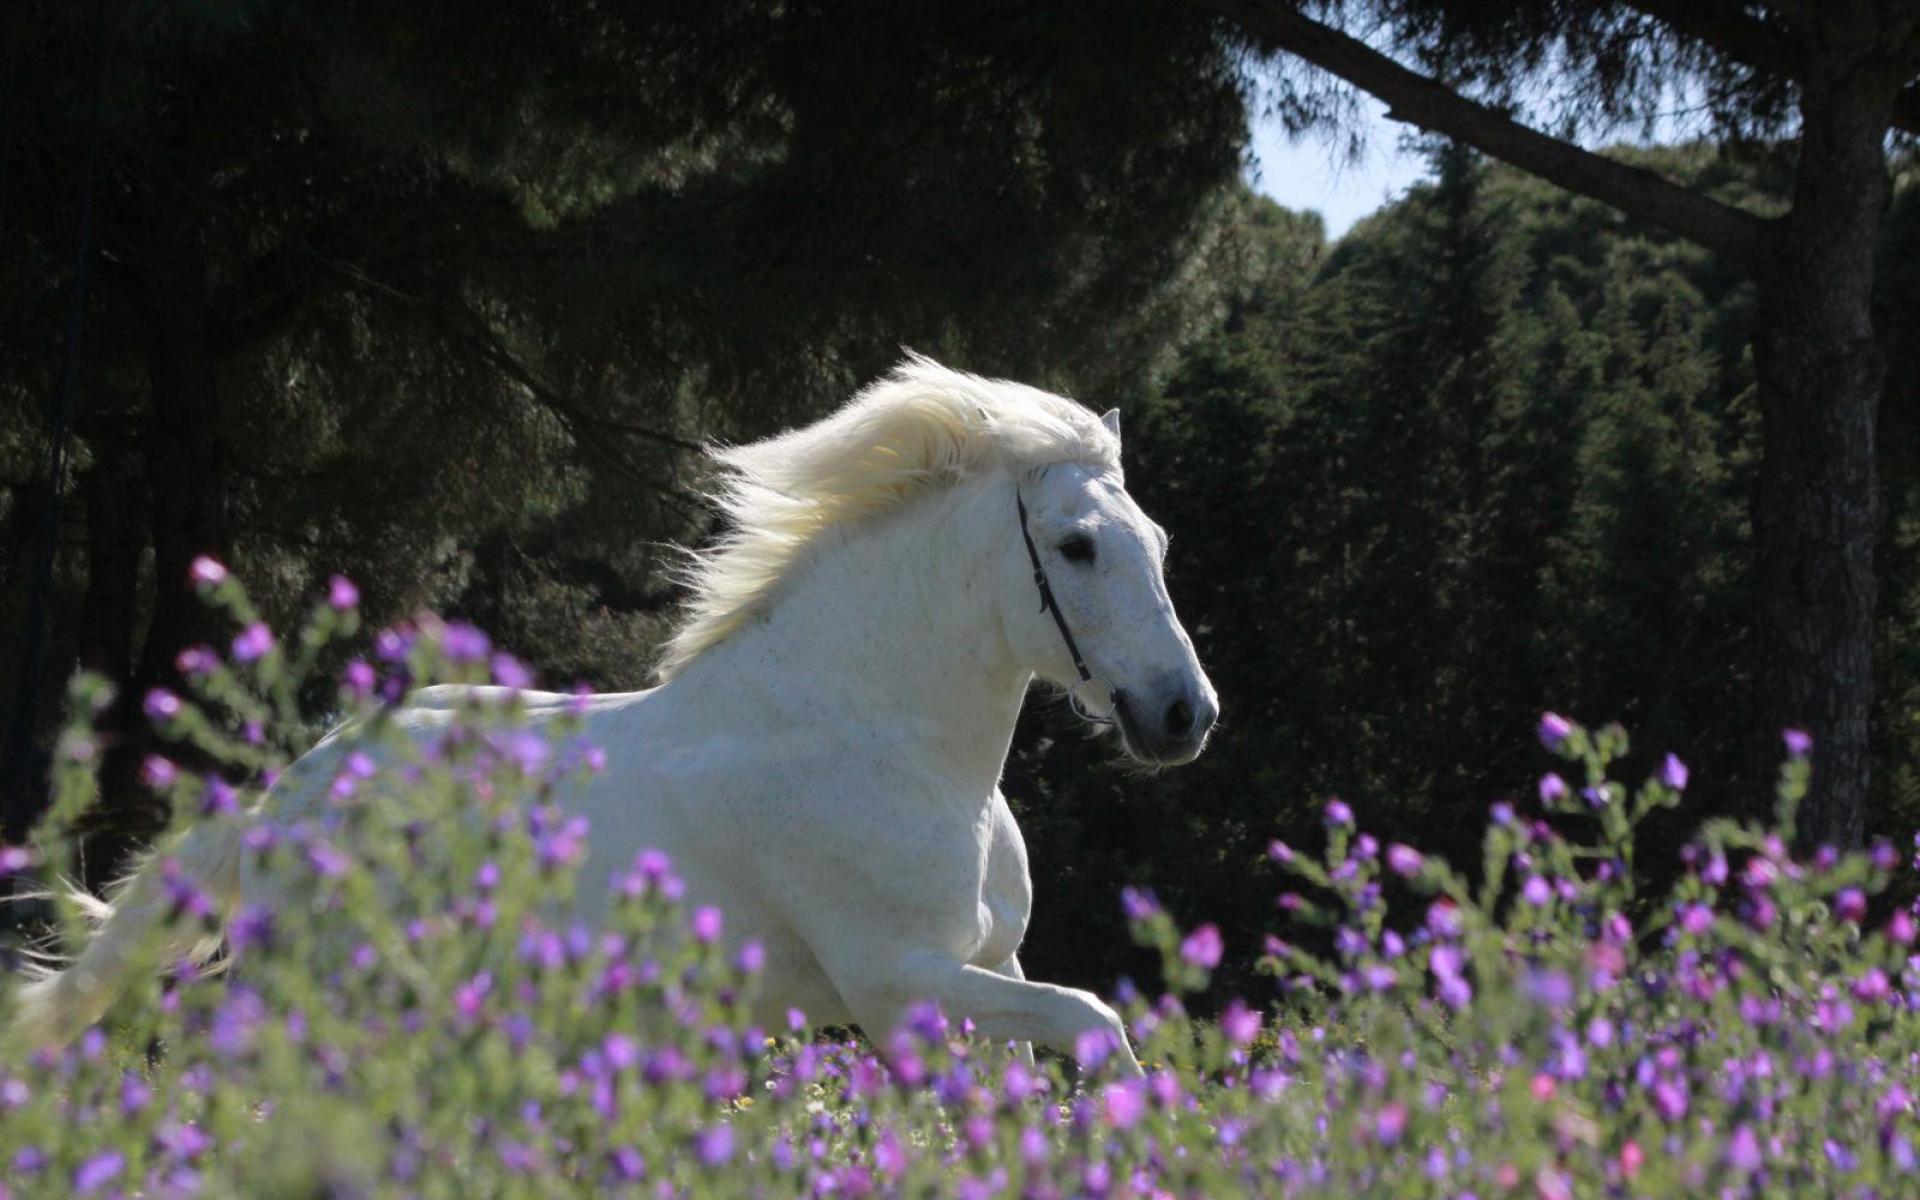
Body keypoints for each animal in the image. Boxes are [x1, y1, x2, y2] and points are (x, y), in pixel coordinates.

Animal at [11, 355, 1213, 1067]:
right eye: (1077, 547)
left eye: (1157, 540)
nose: (1184, 715)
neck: (896, 752)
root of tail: (288, 797)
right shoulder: (898, 985)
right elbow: (1100, 1022)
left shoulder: (985, 972)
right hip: (323, 996)